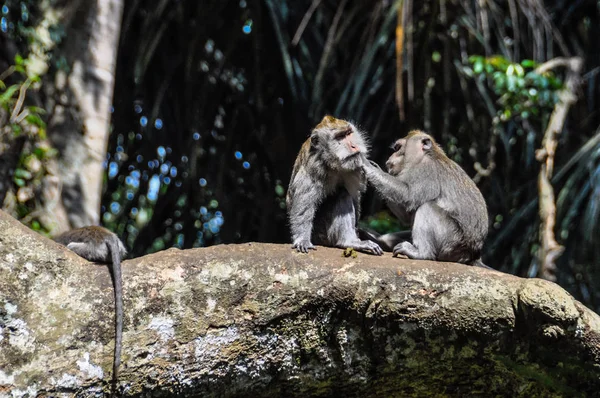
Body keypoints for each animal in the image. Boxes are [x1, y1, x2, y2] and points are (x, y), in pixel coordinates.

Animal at [288, 115, 382, 255]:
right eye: (340, 136)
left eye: (348, 133)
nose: (354, 146)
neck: (334, 164)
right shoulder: (313, 167)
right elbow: (304, 205)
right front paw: (302, 239)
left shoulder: (356, 167)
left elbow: (356, 197)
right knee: (341, 194)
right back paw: (347, 241)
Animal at [360, 131, 488, 268]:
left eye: (398, 148)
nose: (390, 156)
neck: (427, 155)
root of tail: (473, 256)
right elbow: (406, 214)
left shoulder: (427, 171)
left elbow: (408, 197)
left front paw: (367, 165)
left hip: (452, 243)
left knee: (427, 207)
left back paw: (422, 253)